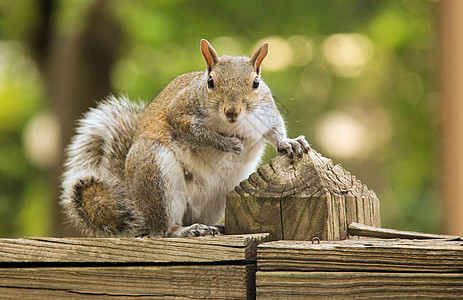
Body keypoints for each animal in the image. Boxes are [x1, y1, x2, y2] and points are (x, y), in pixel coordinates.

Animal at [59, 39, 310, 237]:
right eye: (210, 81)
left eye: (256, 83)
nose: (232, 112)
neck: (230, 124)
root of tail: (137, 202)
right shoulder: (179, 111)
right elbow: (196, 132)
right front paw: (226, 143)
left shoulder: (266, 113)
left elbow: (275, 131)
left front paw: (289, 143)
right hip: (156, 173)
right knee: (163, 231)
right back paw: (185, 230)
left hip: (222, 194)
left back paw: (216, 227)